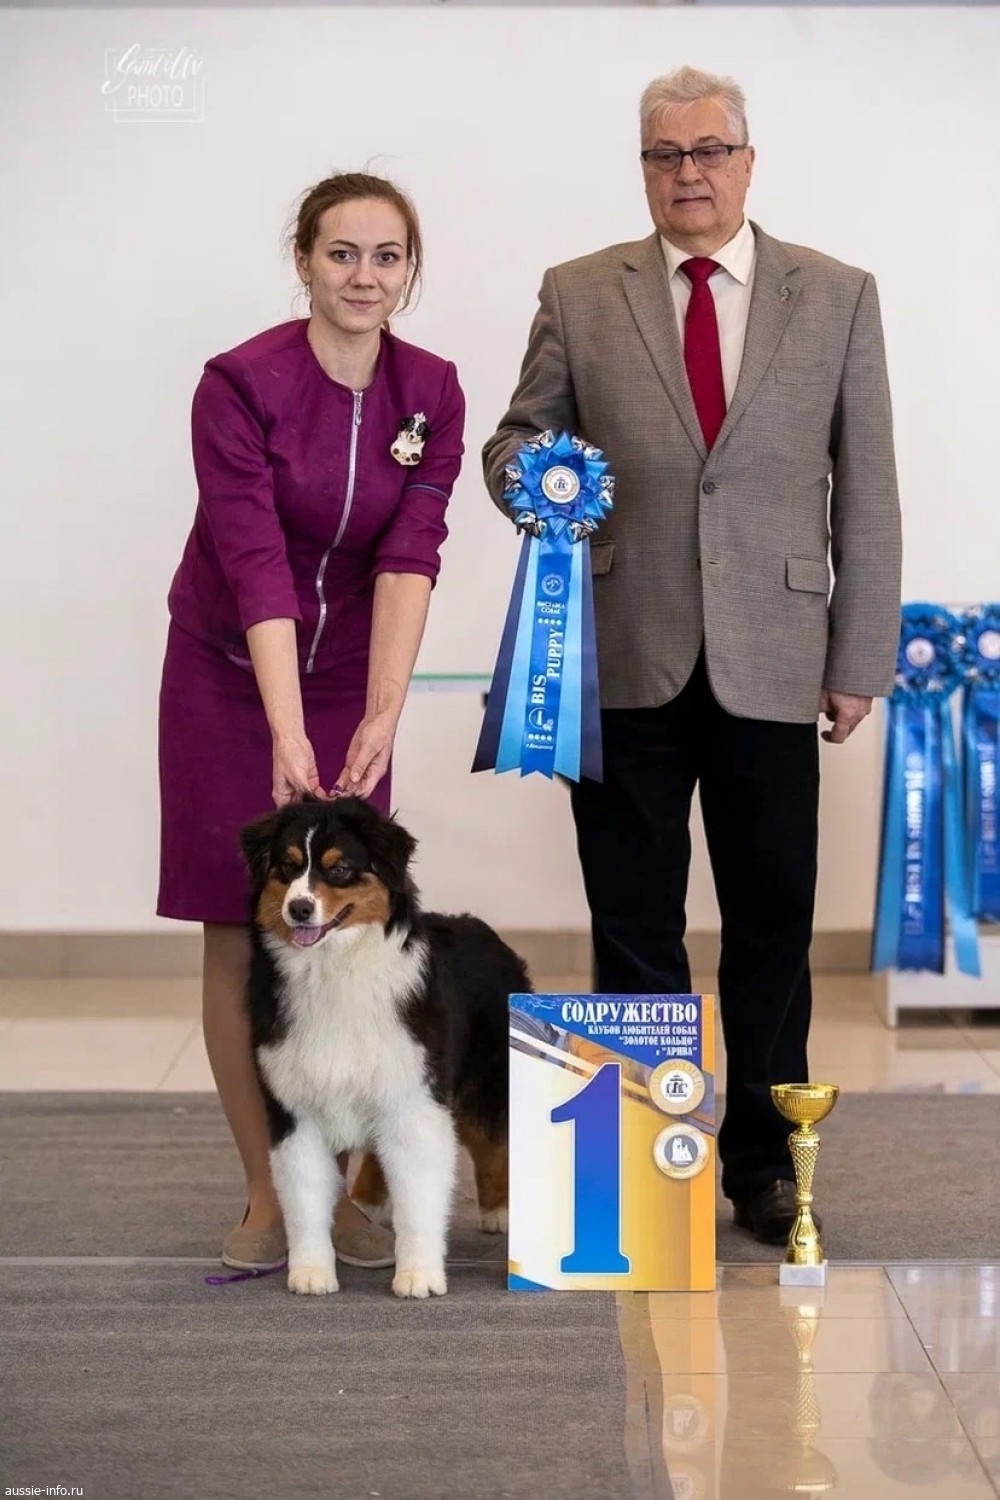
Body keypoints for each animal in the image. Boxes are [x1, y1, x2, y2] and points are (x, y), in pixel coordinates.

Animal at [240, 795, 529, 1299]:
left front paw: (419, 1275)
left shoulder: (414, 1097)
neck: (332, 968)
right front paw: (311, 1272)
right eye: (287, 866)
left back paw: (499, 1211)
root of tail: (486, 929)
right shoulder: (295, 1108)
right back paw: (368, 1201)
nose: (299, 908)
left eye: (339, 869)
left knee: (492, 1138)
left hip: (487, 1077)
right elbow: (305, 1200)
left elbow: (419, 1197)